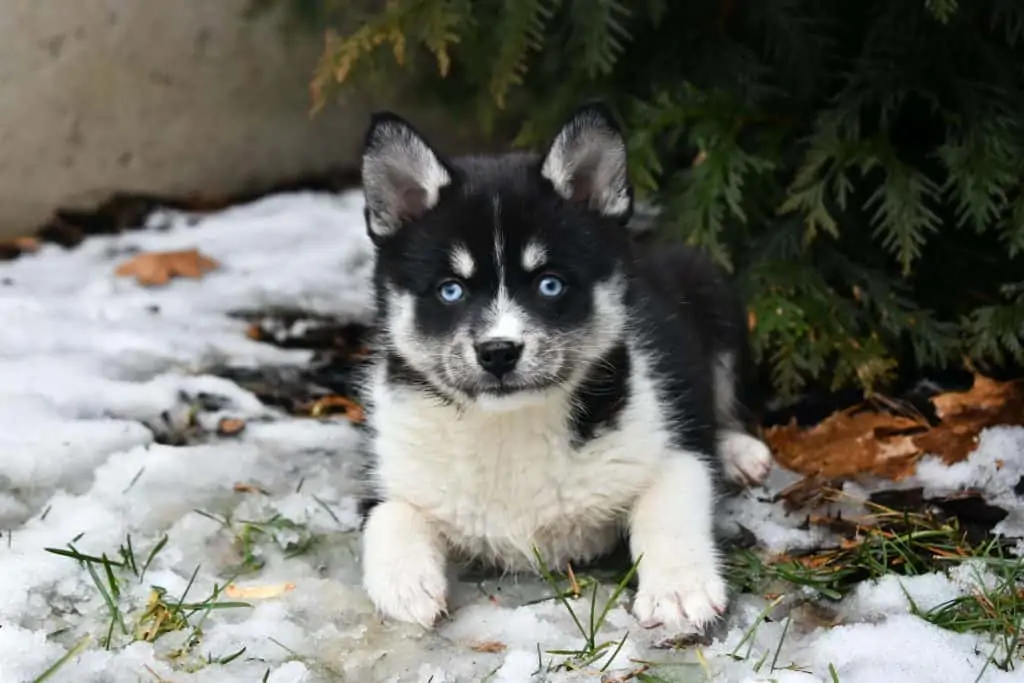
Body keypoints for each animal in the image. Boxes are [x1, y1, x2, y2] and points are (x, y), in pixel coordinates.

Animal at [352, 102, 770, 634]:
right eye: (450, 290)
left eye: (549, 284)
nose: (499, 351)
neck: (508, 425)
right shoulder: (387, 473)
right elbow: (388, 516)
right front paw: (405, 585)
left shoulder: (671, 446)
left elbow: (668, 510)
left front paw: (679, 590)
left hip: (714, 294)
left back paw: (737, 452)